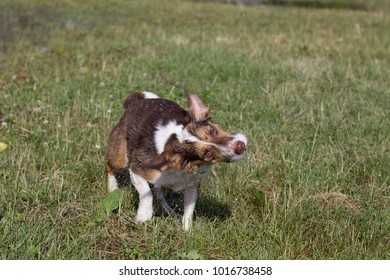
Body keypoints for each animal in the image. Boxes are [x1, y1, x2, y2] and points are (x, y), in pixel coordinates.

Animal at [106, 92, 247, 230]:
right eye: (207, 153)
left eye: (213, 130)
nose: (240, 146)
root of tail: (135, 102)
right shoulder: (137, 170)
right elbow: (146, 191)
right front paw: (144, 214)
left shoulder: (192, 184)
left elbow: (189, 209)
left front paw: (187, 230)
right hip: (120, 157)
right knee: (109, 166)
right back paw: (113, 187)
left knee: (158, 191)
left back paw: (169, 210)